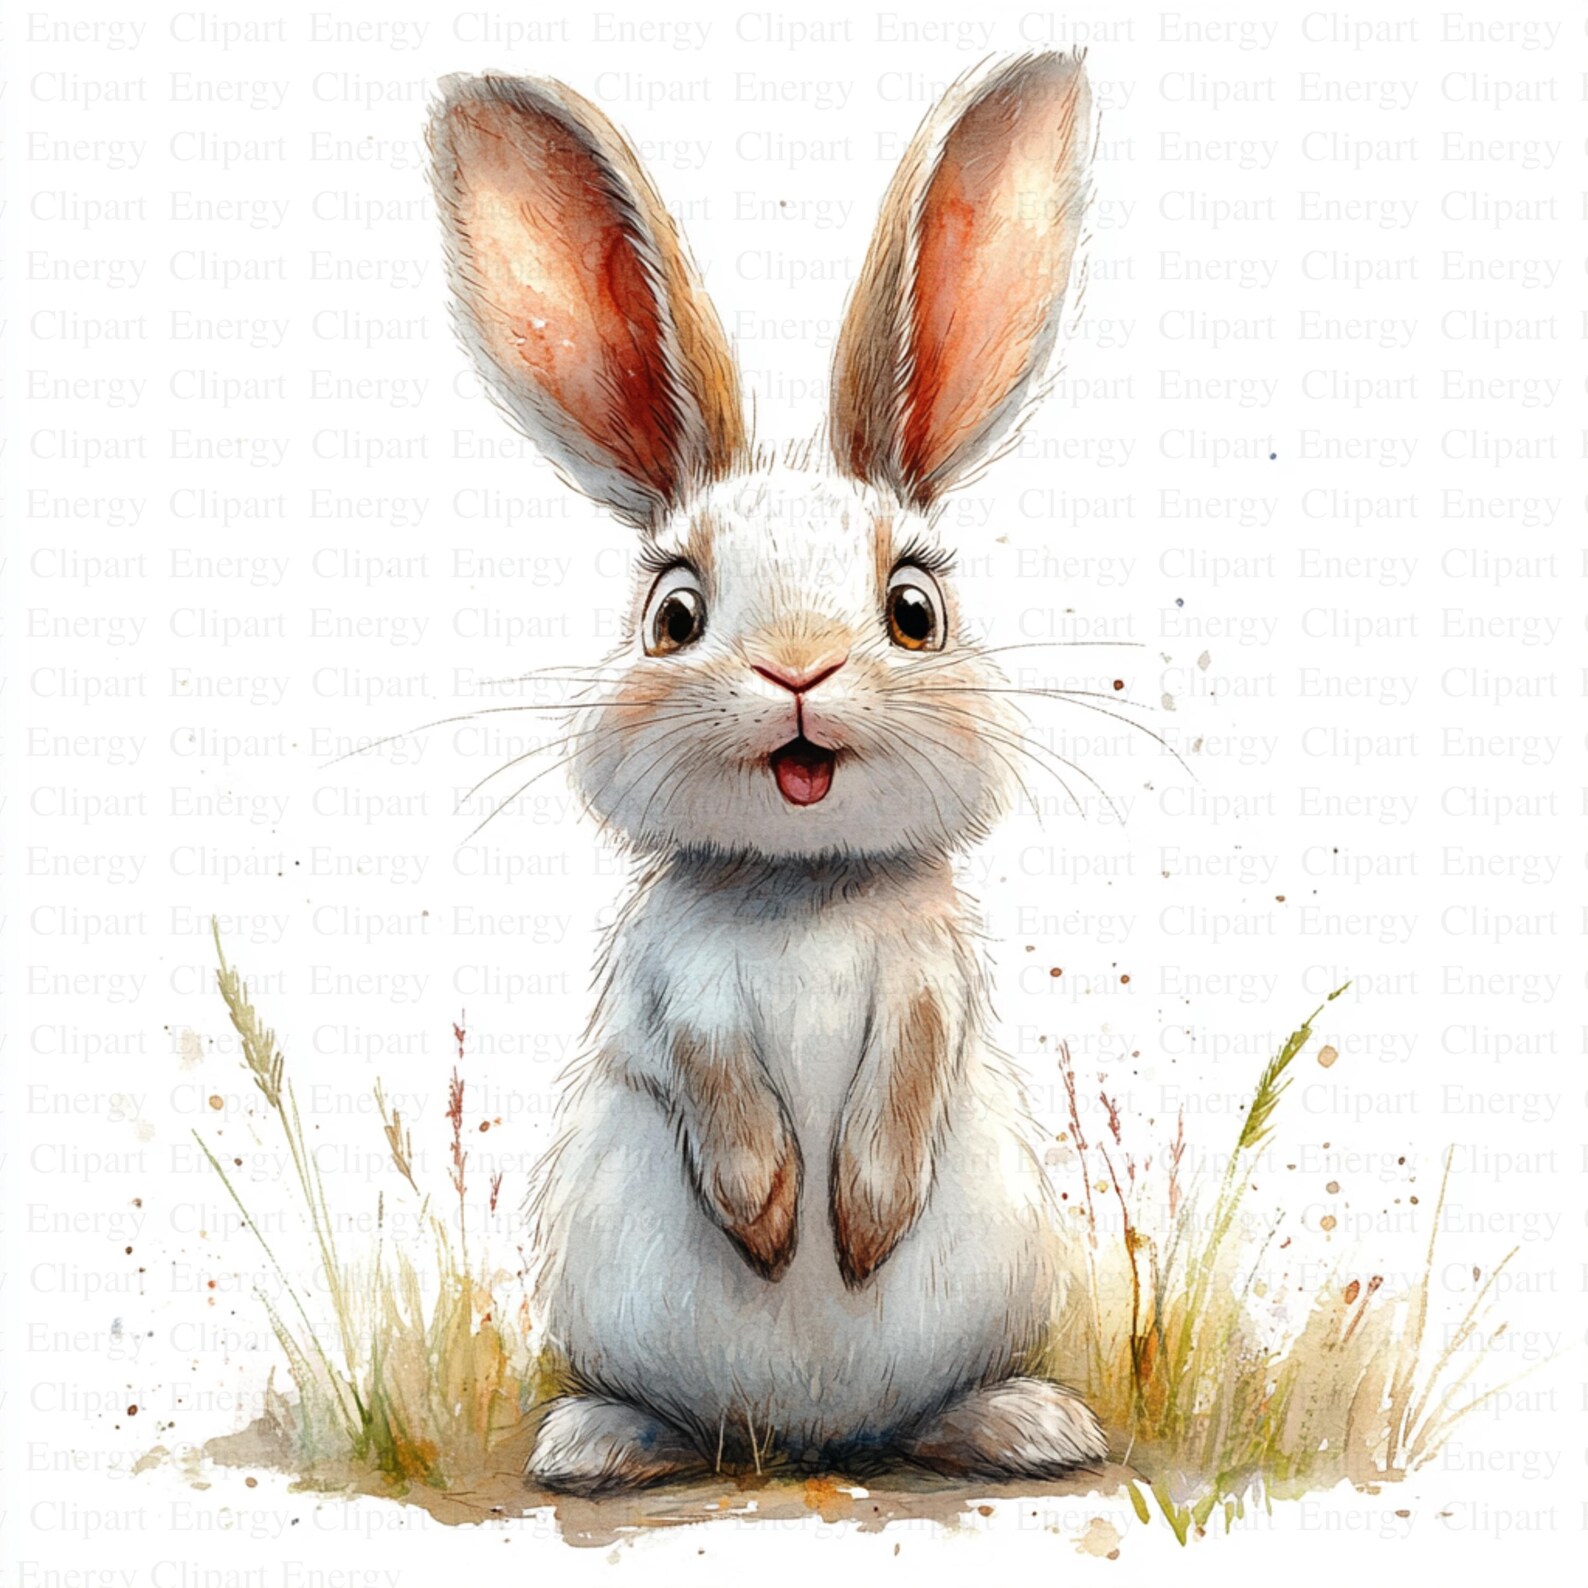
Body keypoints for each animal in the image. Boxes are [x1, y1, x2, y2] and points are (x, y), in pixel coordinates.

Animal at [427, 53, 1108, 1495]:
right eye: (673, 616)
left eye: (914, 611)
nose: (798, 670)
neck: (801, 887)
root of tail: (803, 1442)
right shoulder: (664, 985)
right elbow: (712, 1076)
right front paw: (769, 1218)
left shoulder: (934, 977)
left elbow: (908, 1071)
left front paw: (855, 1225)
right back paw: (598, 1443)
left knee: (926, 1409)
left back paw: (1024, 1425)